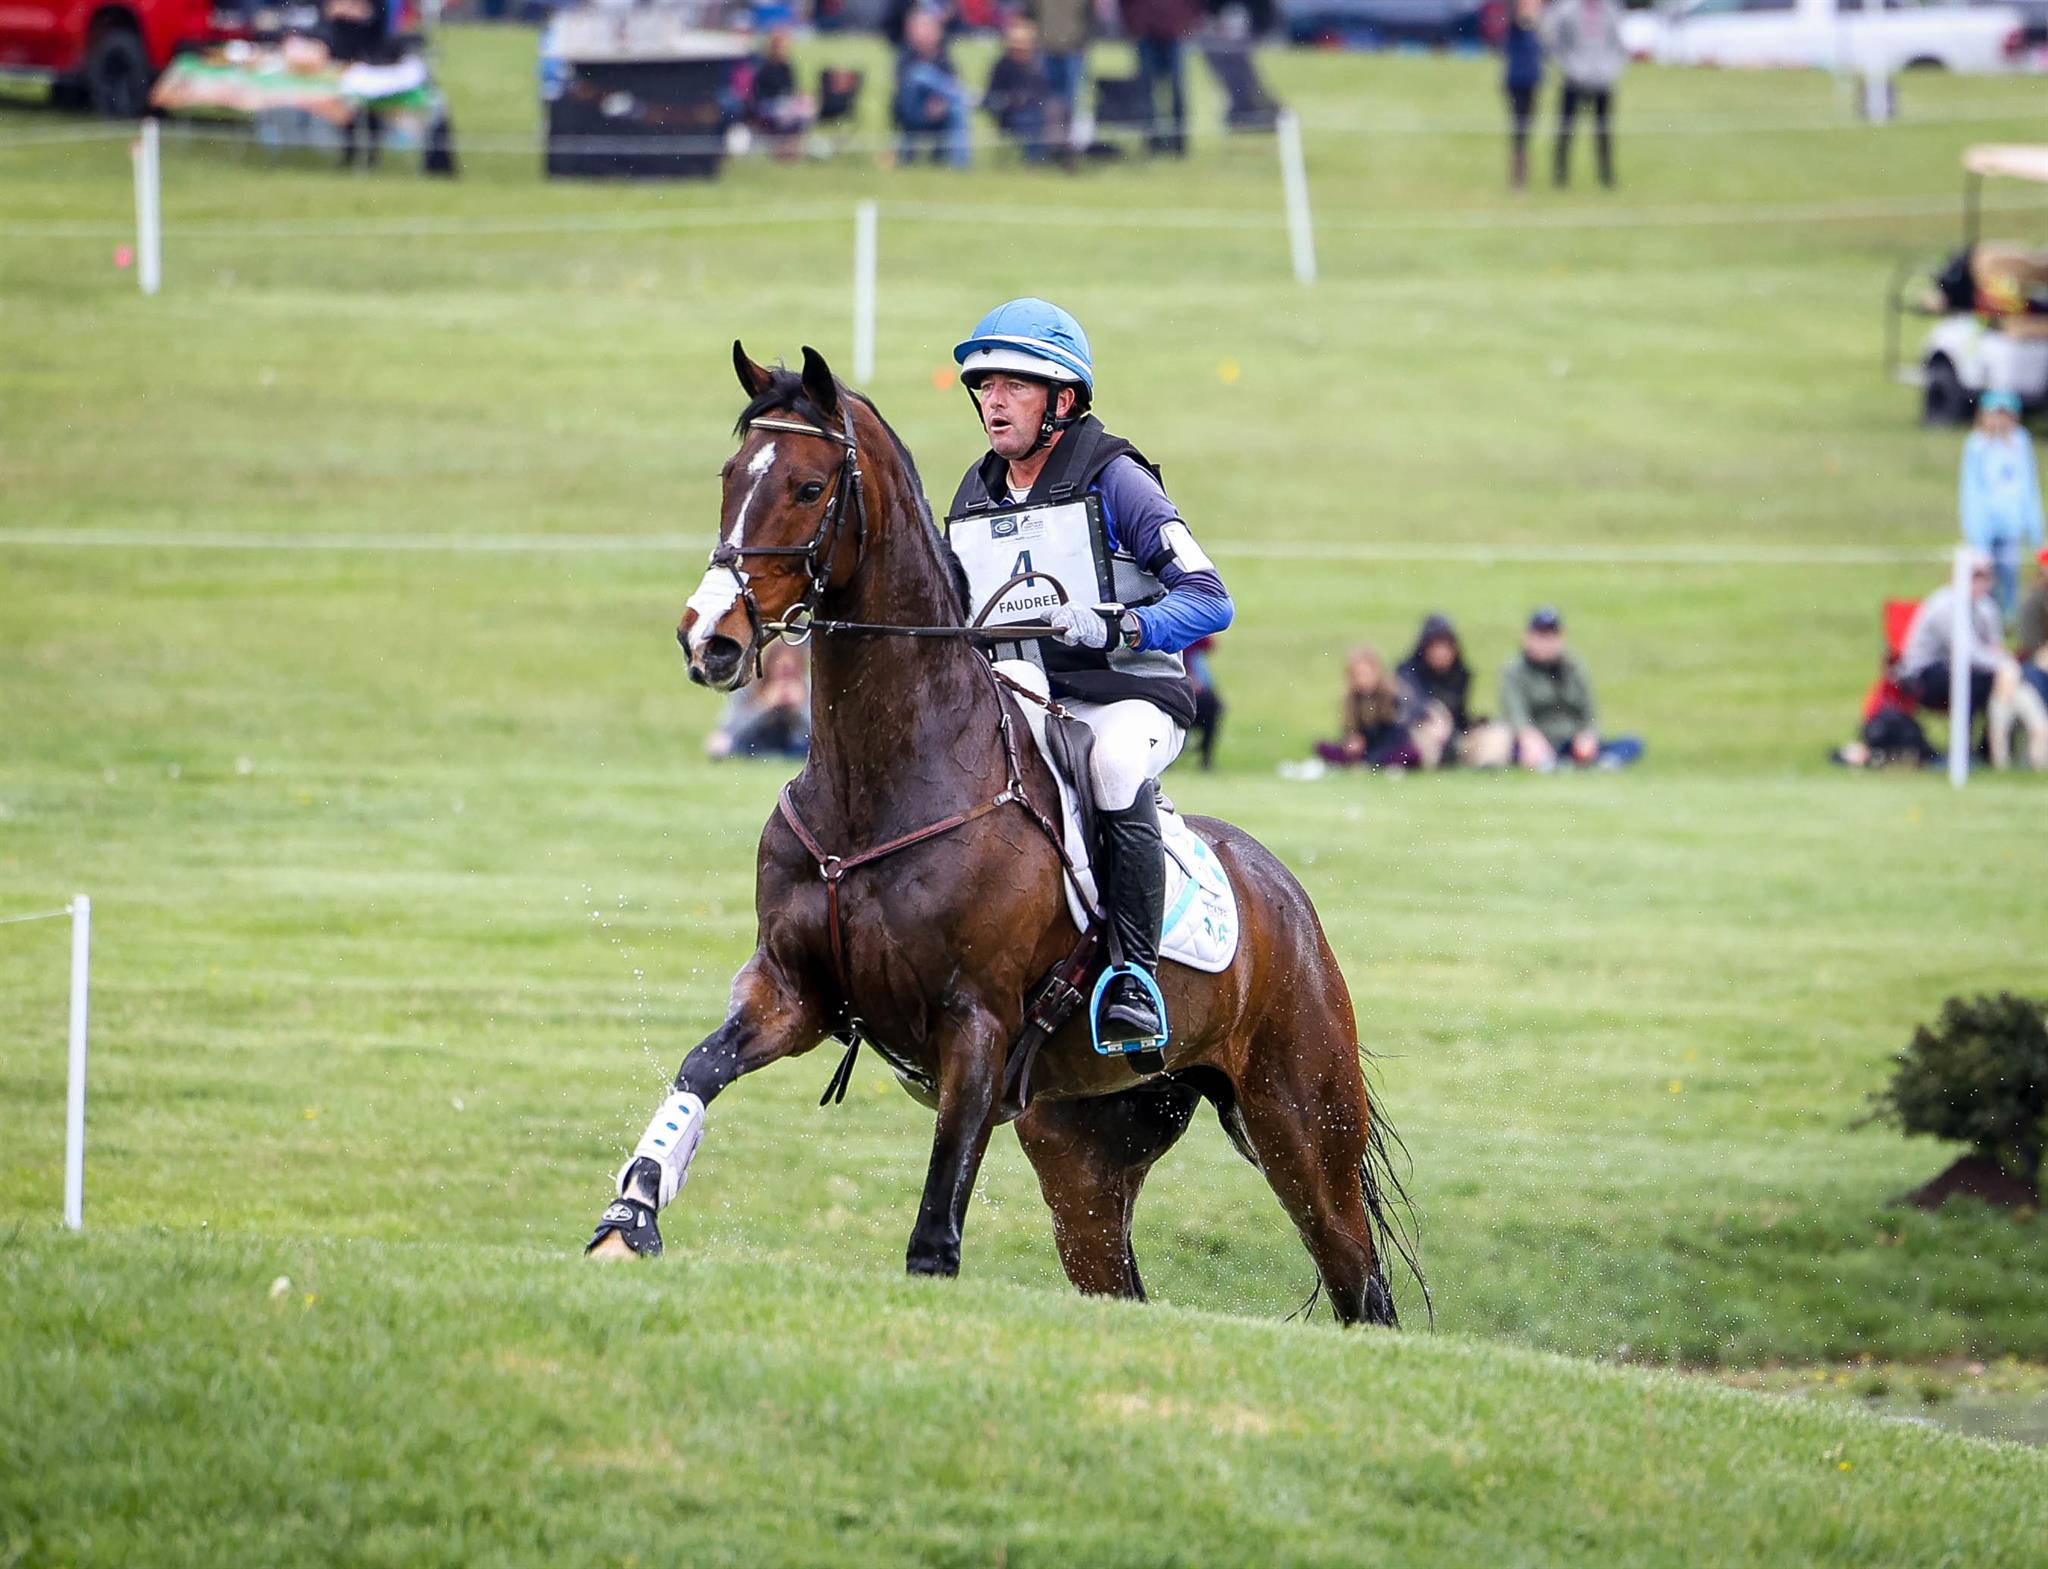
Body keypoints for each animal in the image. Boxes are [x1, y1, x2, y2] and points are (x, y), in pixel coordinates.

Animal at [589, 344, 1425, 1327]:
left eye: (806, 486)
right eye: (729, 478)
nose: (709, 639)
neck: (879, 783)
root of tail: (1286, 898)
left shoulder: (976, 1028)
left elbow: (936, 1232)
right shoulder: (794, 993)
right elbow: (700, 1067)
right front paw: (631, 1212)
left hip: (1301, 1123)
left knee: (1359, 1280)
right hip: (1085, 1151)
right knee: (1120, 1277)